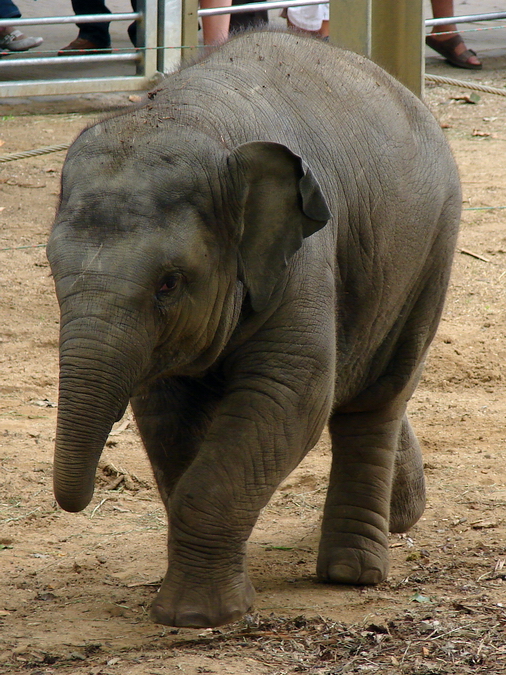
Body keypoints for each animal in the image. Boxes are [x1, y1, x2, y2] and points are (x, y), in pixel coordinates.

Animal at [46, 30, 461, 629]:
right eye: (52, 268)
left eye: (168, 283)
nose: (76, 501)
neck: (193, 117)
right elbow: (168, 417)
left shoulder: (304, 257)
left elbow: (290, 396)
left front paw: (196, 616)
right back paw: (403, 515)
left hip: (431, 249)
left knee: (378, 399)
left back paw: (351, 574)